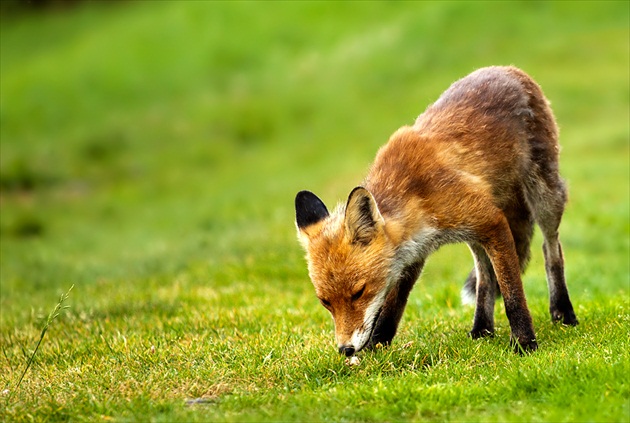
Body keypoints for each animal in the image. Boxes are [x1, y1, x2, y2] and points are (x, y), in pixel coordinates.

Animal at [294, 66, 580, 358]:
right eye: (325, 302)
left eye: (359, 292)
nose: (345, 349)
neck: (416, 196)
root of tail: (508, 69)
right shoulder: (414, 251)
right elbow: (393, 305)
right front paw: (378, 346)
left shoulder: (492, 222)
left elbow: (512, 292)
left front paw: (524, 343)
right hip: (476, 235)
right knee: (485, 277)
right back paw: (482, 329)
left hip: (544, 197)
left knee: (551, 250)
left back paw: (563, 311)